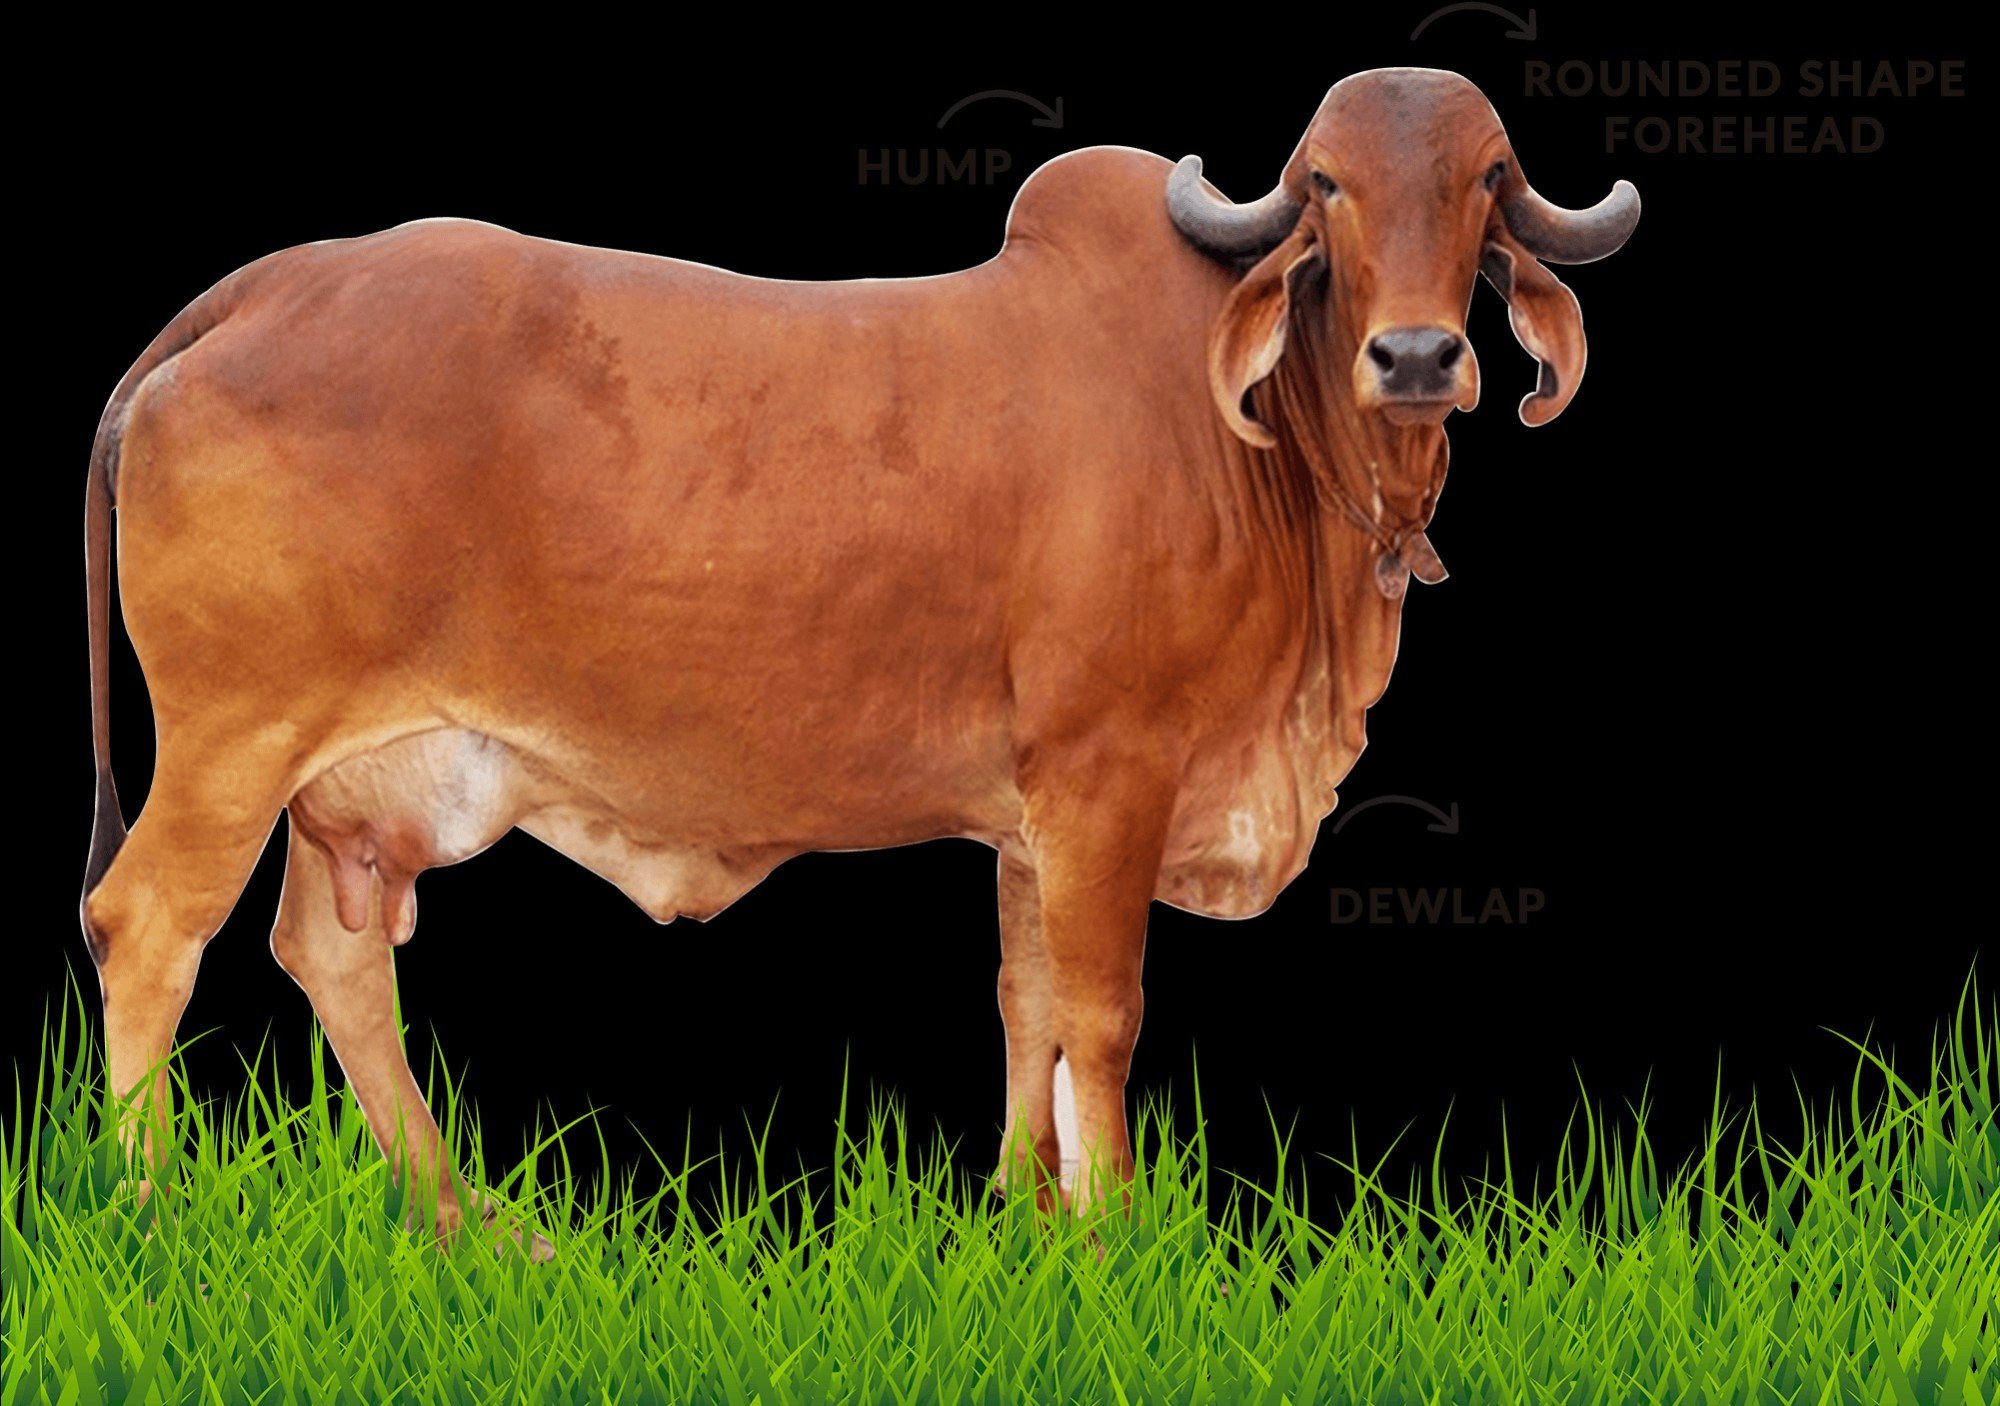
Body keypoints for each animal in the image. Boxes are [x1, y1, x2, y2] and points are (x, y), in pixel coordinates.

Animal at [78, 67, 1637, 1244]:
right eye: (1325, 187)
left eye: (1488, 181)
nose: (1418, 358)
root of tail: (261, 290)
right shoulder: (1110, 775)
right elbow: (1103, 1013)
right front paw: (1121, 1238)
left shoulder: (1031, 816)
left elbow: (1025, 1002)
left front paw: (1026, 1214)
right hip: (229, 744)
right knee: (149, 926)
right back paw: (152, 1212)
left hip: (341, 782)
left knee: (328, 952)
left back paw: (470, 1223)